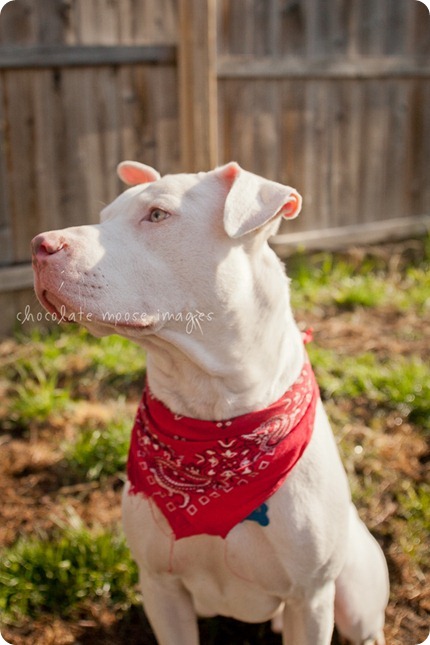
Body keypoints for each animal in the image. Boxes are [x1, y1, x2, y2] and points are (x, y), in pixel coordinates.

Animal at [32, 162, 390, 644]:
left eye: (158, 215)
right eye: (104, 216)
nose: (40, 245)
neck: (215, 413)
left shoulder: (310, 599)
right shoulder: (161, 588)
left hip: (352, 597)